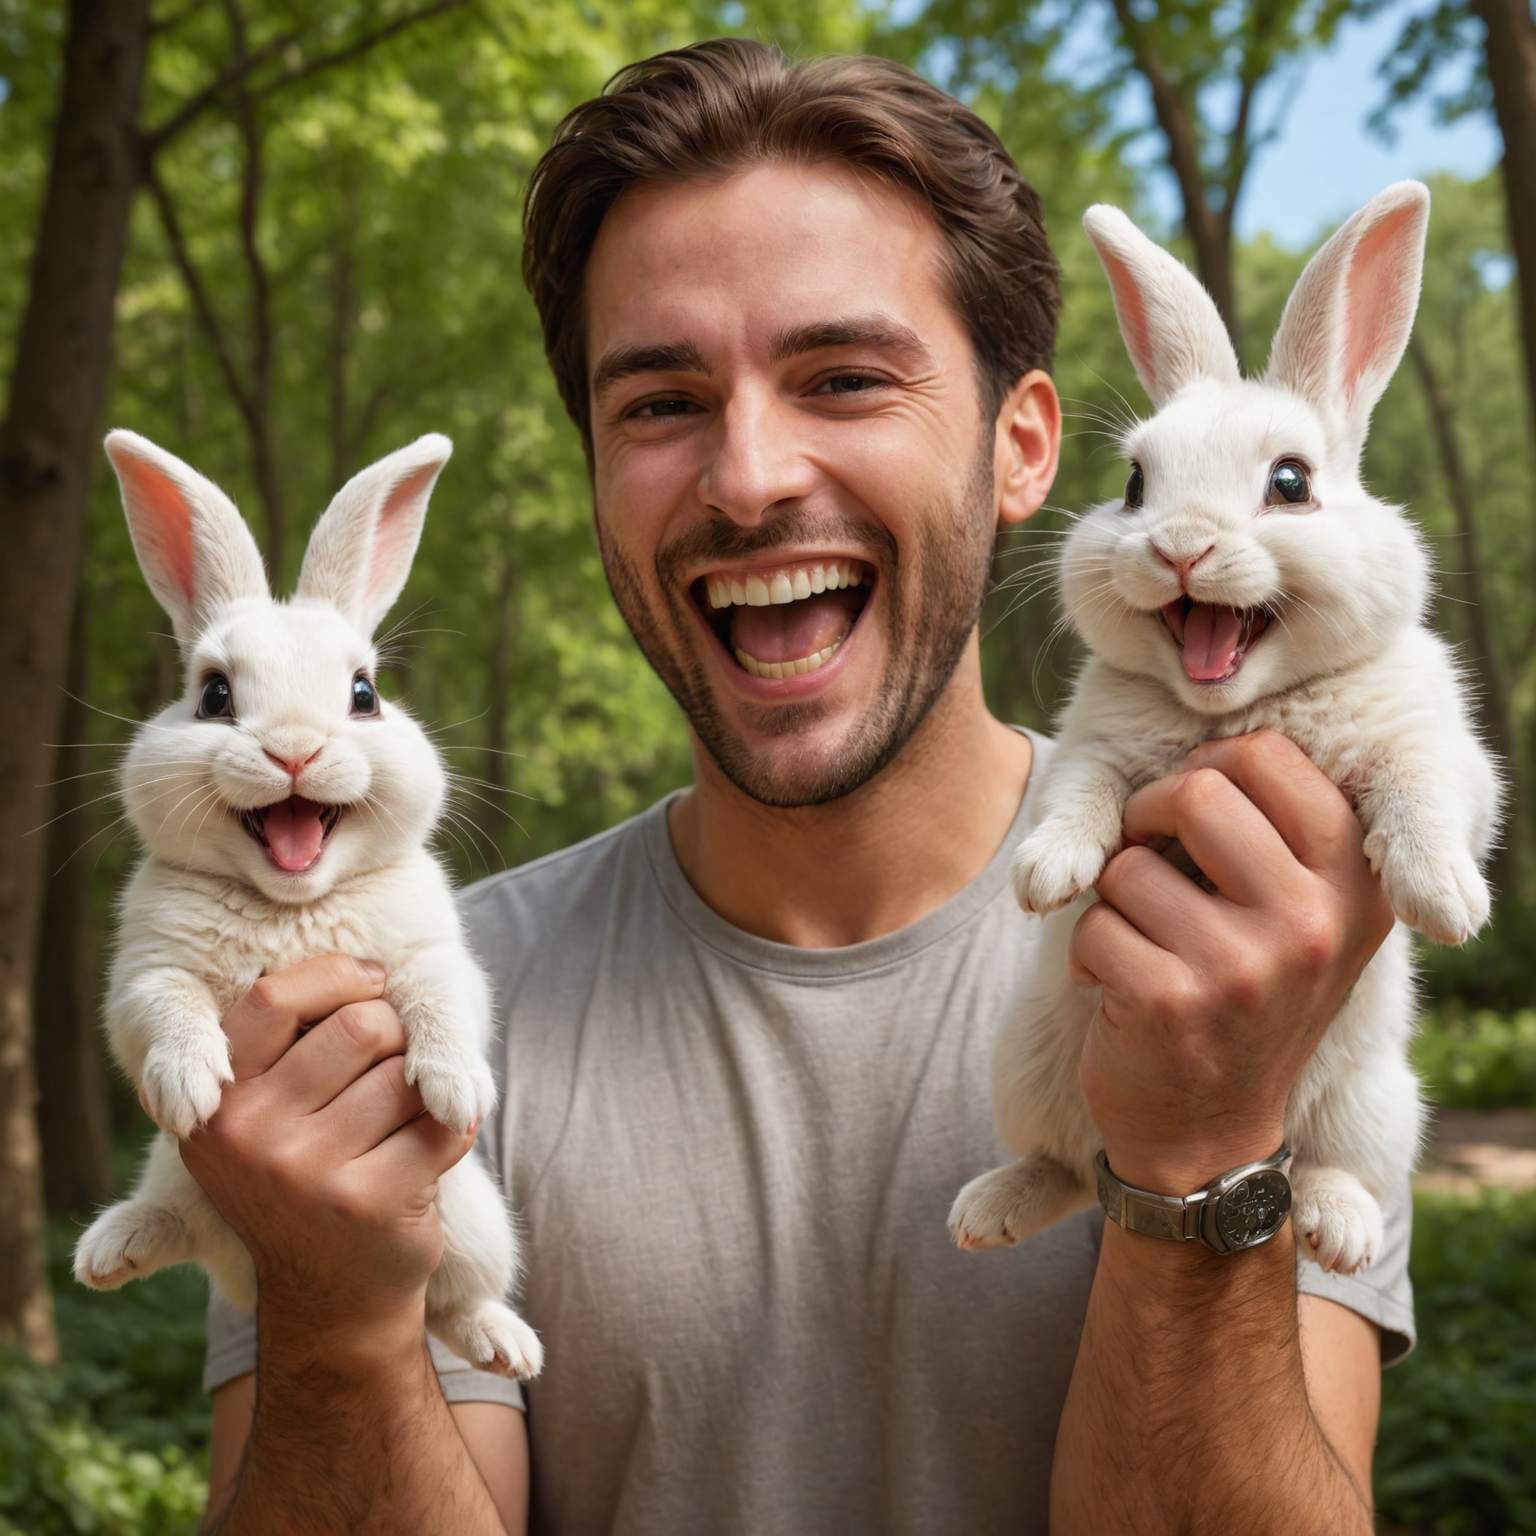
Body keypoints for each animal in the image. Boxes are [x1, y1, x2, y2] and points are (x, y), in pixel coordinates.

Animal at [72, 433, 543, 1382]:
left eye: (364, 694)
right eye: (214, 695)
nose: (293, 751)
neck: (291, 905)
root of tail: (247, 1276)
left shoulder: (433, 956)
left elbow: (443, 1000)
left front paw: (455, 1089)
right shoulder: (143, 974)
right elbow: (165, 1008)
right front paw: (189, 1084)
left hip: (476, 1227)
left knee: (449, 1303)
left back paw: (510, 1346)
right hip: (176, 1177)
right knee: (178, 1227)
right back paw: (108, 1252)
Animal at [946, 182, 1499, 1271]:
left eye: (1291, 482)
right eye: (1134, 486)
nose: (1179, 548)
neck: (1237, 704)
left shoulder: (1430, 745)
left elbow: (1426, 797)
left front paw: (1446, 904)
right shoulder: (1094, 747)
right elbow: (1079, 797)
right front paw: (1047, 875)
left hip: (1378, 1105)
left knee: (1329, 1169)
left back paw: (1340, 1232)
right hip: (1027, 1064)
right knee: (1070, 1169)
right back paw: (985, 1212)